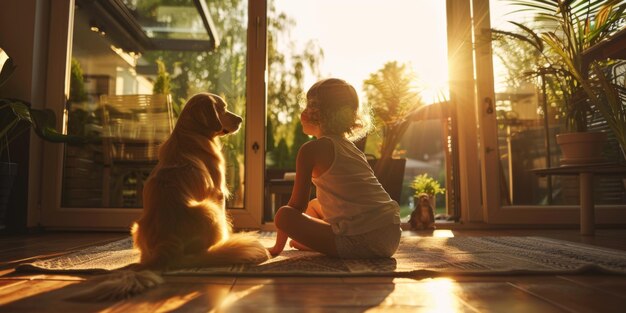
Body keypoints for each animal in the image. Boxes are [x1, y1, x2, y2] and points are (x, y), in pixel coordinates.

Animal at [72, 92, 270, 300]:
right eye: (222, 109)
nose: (240, 119)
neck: (191, 134)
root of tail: (167, 249)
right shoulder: (218, 192)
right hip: (209, 209)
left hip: (136, 226)